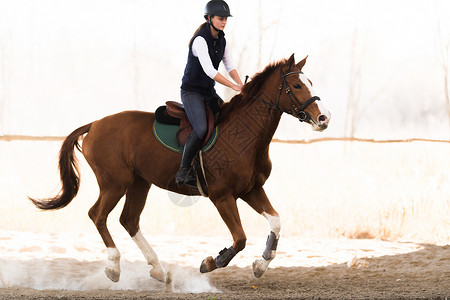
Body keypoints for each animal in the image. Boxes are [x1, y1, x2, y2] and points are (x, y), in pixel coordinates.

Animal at [29, 54, 330, 284]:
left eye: (309, 82)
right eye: (296, 85)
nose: (323, 119)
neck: (244, 135)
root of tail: (94, 124)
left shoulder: (251, 190)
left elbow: (276, 222)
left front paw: (260, 264)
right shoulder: (222, 197)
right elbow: (240, 239)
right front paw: (211, 261)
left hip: (139, 183)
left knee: (129, 220)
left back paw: (158, 270)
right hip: (115, 183)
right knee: (98, 215)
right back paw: (114, 267)